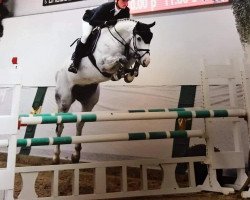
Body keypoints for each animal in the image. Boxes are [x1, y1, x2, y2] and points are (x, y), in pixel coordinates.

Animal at [54, 18, 155, 163]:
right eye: (139, 38)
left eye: (150, 38)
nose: (146, 61)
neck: (118, 41)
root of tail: (58, 72)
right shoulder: (103, 64)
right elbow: (120, 59)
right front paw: (120, 71)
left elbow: (129, 65)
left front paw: (128, 73)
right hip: (64, 99)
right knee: (60, 125)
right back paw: (56, 156)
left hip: (89, 101)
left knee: (79, 123)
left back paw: (76, 155)